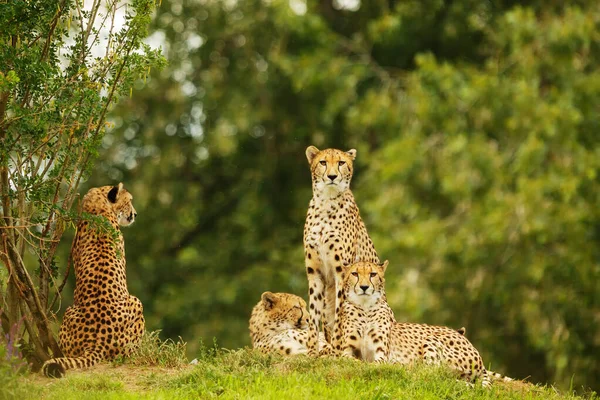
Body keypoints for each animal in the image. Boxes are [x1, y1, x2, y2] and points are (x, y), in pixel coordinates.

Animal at [41, 184, 145, 378]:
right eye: (129, 201)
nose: (135, 214)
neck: (100, 208)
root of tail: (97, 341)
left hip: (70, 311)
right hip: (136, 302)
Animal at [302, 146, 382, 356]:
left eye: (341, 163)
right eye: (323, 162)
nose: (332, 176)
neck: (326, 202)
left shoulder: (341, 271)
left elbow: (340, 315)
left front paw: (337, 350)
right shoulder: (315, 273)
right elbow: (313, 313)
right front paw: (311, 351)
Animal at [338, 260, 510, 386]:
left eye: (373, 274)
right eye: (355, 273)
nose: (364, 287)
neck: (365, 307)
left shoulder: (381, 354)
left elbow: (374, 363)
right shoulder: (348, 349)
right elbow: (347, 358)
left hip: (432, 340)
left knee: (432, 371)